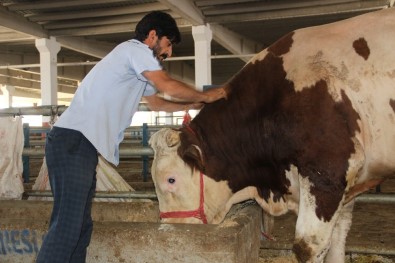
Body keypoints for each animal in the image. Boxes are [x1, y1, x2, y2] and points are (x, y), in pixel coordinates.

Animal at [148, 8, 395, 263]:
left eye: (171, 179)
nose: (171, 229)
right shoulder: (348, 181)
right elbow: (337, 239)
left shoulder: (328, 169)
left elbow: (308, 245)